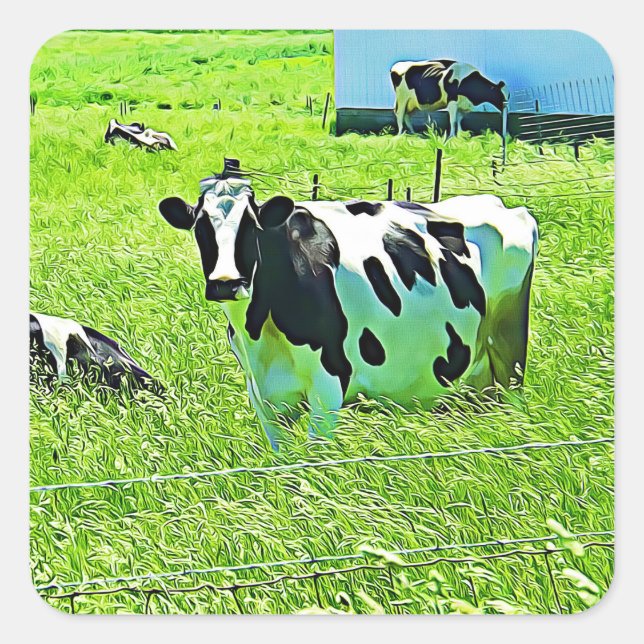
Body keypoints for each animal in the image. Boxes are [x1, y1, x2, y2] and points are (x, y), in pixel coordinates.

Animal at [158, 172, 537, 449]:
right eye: (200, 226)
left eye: (251, 225)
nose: (226, 282)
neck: (259, 331)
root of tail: (498, 204)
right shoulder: (264, 397)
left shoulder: (328, 387)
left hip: (509, 358)